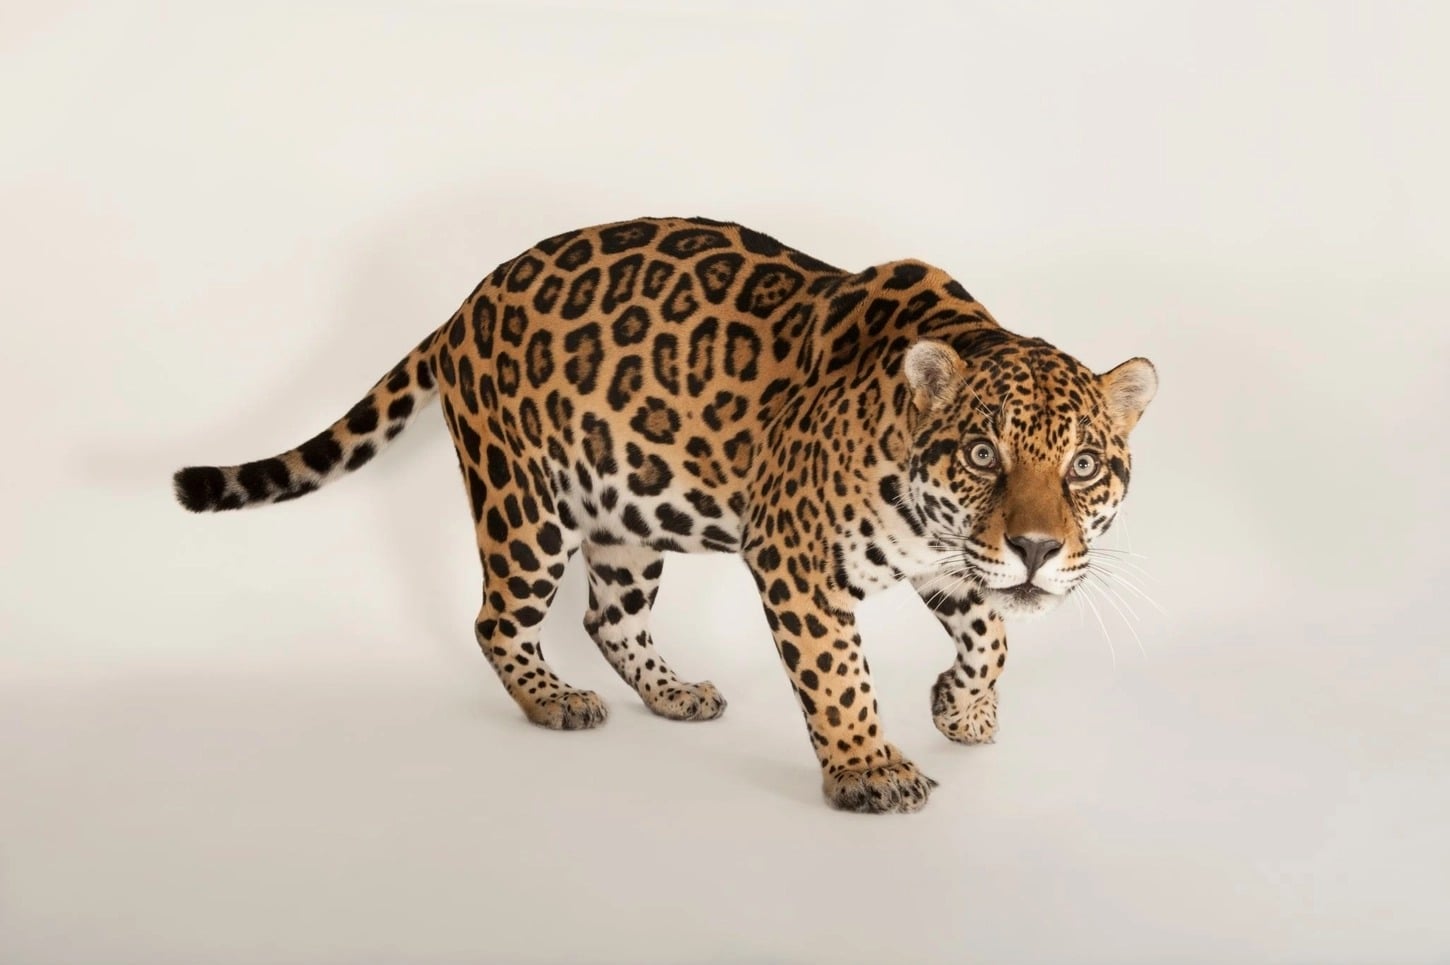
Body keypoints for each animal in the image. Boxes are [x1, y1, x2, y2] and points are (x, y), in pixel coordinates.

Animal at [173, 216, 1157, 814]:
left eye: (1083, 465)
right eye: (984, 454)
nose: (1037, 547)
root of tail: (463, 305)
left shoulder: (946, 557)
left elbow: (993, 632)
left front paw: (962, 707)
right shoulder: (794, 553)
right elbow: (840, 675)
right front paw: (868, 767)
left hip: (622, 512)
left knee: (607, 617)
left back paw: (673, 692)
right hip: (523, 502)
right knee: (499, 617)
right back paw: (553, 700)